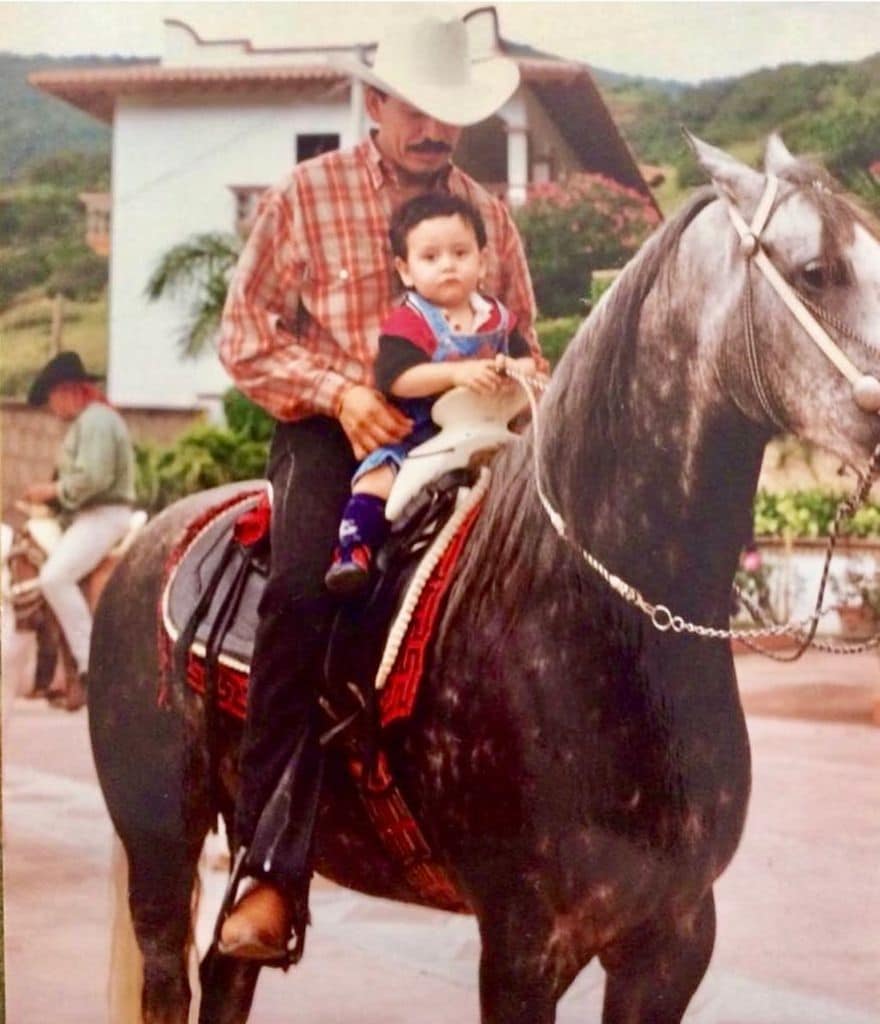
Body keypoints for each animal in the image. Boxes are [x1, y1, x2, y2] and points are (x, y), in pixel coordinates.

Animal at [89, 138, 880, 1024]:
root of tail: (151, 543)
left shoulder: (673, 938)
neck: (588, 616)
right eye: (815, 271)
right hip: (160, 843)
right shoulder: (522, 946)